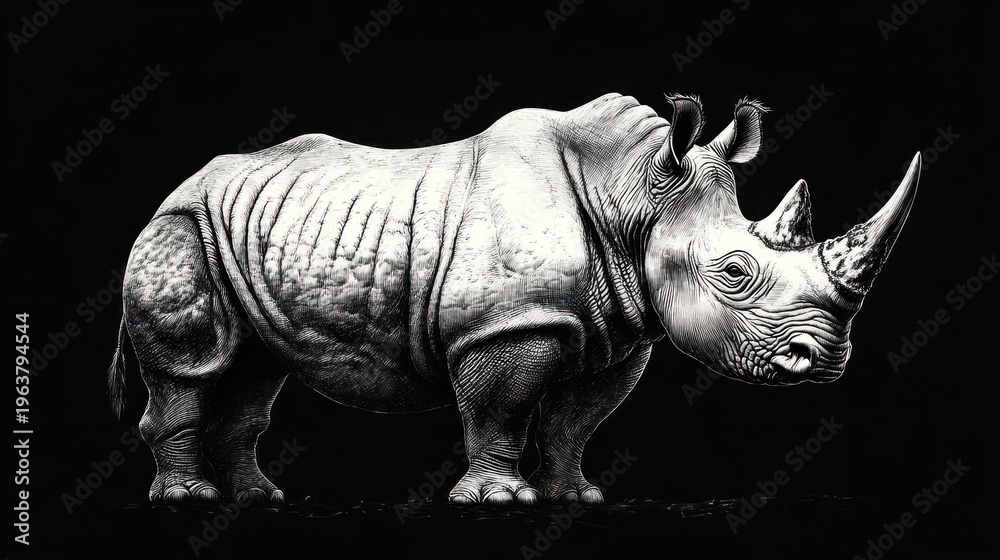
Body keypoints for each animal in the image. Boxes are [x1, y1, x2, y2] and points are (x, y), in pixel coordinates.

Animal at [108, 92, 919, 506]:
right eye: (735, 274)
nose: (824, 360)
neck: (634, 195)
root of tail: (176, 187)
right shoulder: (506, 325)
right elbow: (501, 407)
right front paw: (499, 500)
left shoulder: (616, 329)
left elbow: (574, 420)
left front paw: (572, 496)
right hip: (180, 225)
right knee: (192, 367)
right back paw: (189, 499)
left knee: (254, 369)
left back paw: (258, 498)